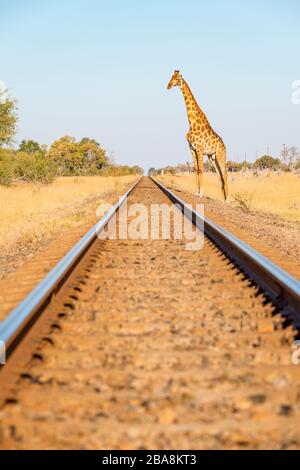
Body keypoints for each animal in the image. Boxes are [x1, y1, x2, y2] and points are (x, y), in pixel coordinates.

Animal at [166, 70, 230, 201]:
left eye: (177, 78)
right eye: (171, 77)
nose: (168, 86)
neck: (192, 122)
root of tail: (224, 145)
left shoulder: (199, 149)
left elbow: (200, 170)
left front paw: (201, 193)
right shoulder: (191, 149)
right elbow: (195, 170)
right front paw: (196, 192)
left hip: (221, 155)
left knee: (225, 174)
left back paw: (228, 199)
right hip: (212, 157)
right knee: (220, 175)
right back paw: (222, 199)